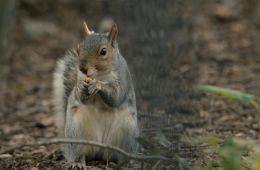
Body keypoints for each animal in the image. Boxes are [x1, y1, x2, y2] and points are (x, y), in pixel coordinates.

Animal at [51, 20, 139, 169]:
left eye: (103, 51)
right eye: (79, 49)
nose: (82, 68)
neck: (100, 74)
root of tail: (101, 148)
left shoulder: (123, 78)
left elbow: (116, 97)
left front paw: (97, 85)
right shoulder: (81, 78)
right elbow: (82, 98)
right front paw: (79, 88)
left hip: (128, 133)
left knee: (122, 156)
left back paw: (128, 163)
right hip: (76, 133)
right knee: (80, 154)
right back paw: (77, 162)